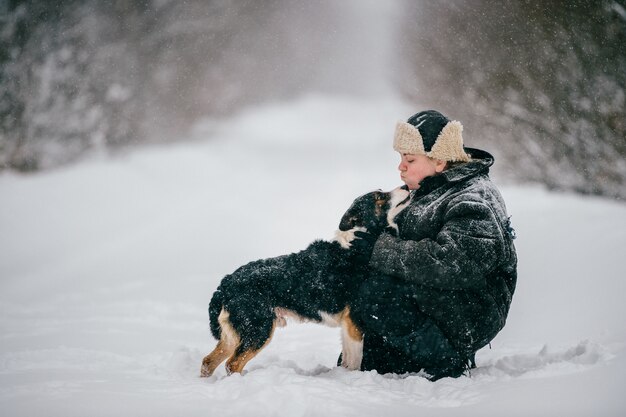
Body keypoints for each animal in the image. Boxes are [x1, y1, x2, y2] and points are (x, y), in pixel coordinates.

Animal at [200, 187, 410, 376]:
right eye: (378, 196)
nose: (406, 187)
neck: (360, 245)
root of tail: (226, 283)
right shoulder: (354, 322)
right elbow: (355, 361)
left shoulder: (347, 326)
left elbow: (347, 360)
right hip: (258, 329)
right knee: (232, 364)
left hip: (235, 334)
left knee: (208, 362)